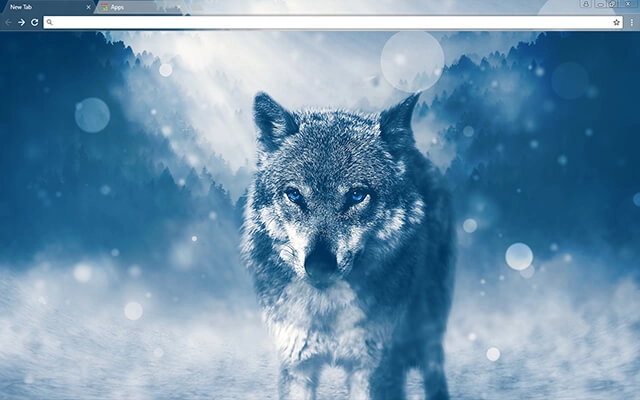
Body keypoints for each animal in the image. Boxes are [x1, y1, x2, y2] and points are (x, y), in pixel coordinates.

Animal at [241, 92, 455, 400]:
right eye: (294, 195)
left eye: (356, 195)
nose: (319, 265)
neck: (327, 310)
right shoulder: (297, 364)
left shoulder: (373, 368)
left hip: (429, 322)